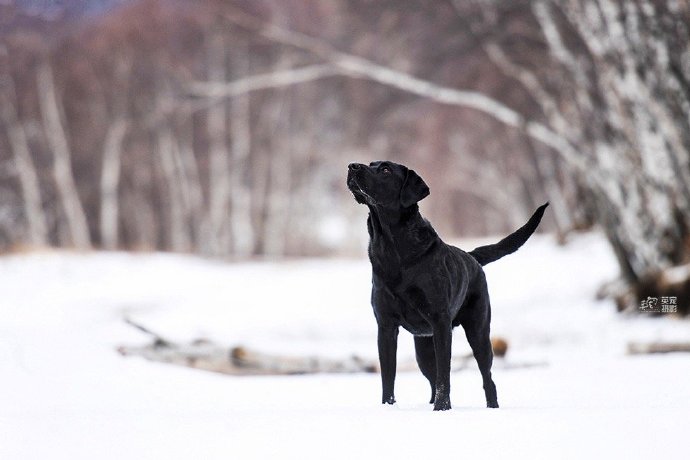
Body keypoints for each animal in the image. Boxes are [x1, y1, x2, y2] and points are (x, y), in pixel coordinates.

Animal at [346, 161, 544, 410]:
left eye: (385, 170)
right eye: (371, 164)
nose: (352, 166)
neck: (392, 249)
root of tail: (472, 257)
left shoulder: (440, 322)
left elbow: (444, 375)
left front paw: (442, 408)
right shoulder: (386, 326)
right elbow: (388, 376)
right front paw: (388, 407)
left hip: (479, 332)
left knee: (487, 376)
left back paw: (491, 406)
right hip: (422, 348)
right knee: (432, 377)